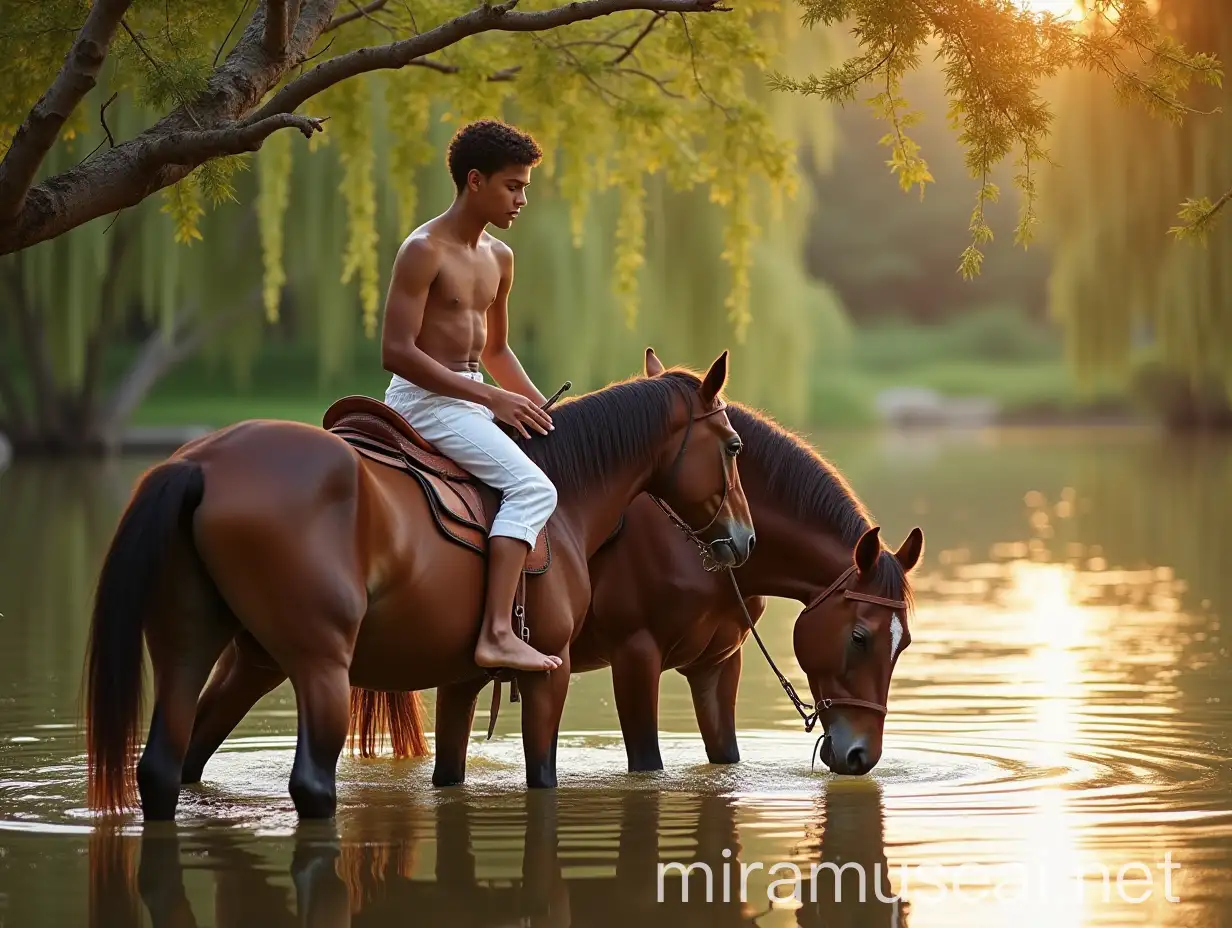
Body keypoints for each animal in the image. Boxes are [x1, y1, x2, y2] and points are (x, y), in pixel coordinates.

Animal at [84, 352, 749, 818]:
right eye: (734, 446)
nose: (743, 539)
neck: (565, 495)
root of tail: (201, 462)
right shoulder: (549, 670)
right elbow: (542, 776)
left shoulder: (459, 682)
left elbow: (449, 774)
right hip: (319, 665)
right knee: (310, 783)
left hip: (216, 653)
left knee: (169, 765)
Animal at [399, 347, 921, 783]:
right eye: (860, 637)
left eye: (905, 644)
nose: (861, 755)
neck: (699, 551)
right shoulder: (635, 658)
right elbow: (647, 761)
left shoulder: (718, 666)